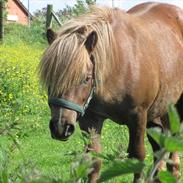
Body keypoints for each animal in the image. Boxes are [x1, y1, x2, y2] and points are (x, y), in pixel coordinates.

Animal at [39, 2, 183, 182]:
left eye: (86, 78)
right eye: (50, 78)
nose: (60, 127)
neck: (117, 64)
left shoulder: (138, 117)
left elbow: (137, 157)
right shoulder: (90, 119)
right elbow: (94, 161)